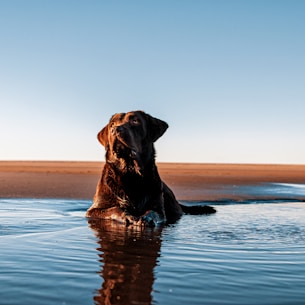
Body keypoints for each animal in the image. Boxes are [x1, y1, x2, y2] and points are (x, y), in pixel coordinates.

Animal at [85, 110, 214, 226]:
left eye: (135, 121)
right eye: (112, 124)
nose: (115, 129)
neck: (130, 172)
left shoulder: (159, 209)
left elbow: (152, 212)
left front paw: (146, 218)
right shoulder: (94, 210)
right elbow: (115, 209)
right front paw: (128, 216)